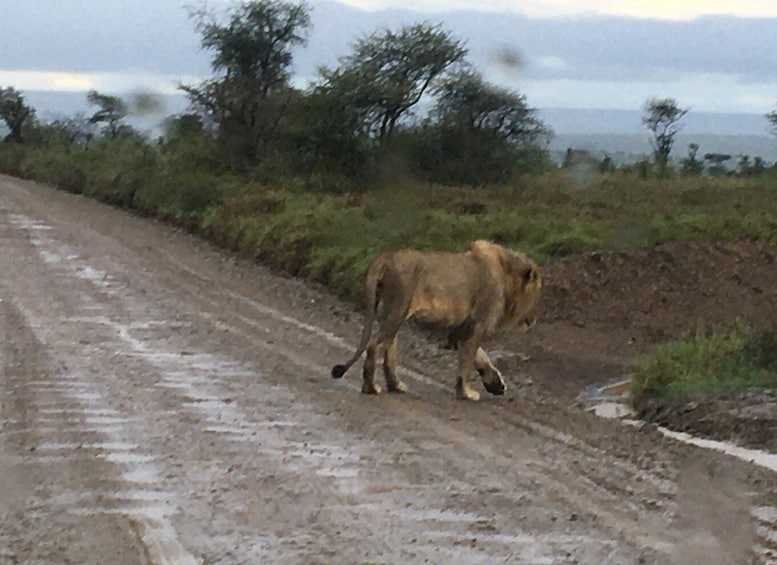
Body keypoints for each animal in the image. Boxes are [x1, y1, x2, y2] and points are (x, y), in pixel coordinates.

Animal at [330, 240, 544, 398]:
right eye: (536, 294)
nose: (534, 318)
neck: (507, 277)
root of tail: (387, 255)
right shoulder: (476, 325)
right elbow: (467, 362)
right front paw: (466, 393)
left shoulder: (460, 327)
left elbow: (480, 356)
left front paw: (495, 384)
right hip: (396, 311)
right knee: (374, 346)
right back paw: (371, 387)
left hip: (392, 314)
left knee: (388, 351)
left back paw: (396, 385)